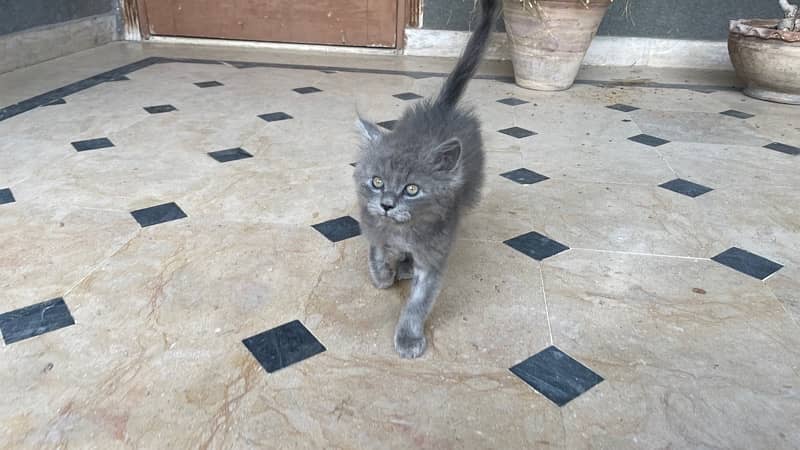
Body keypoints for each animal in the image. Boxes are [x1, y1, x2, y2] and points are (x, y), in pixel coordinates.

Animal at [354, 0, 500, 358]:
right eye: (377, 182)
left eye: (411, 189)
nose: (387, 204)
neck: (401, 231)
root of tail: (441, 109)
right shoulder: (372, 224)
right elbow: (376, 251)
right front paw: (383, 275)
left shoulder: (433, 258)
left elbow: (418, 304)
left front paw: (408, 337)